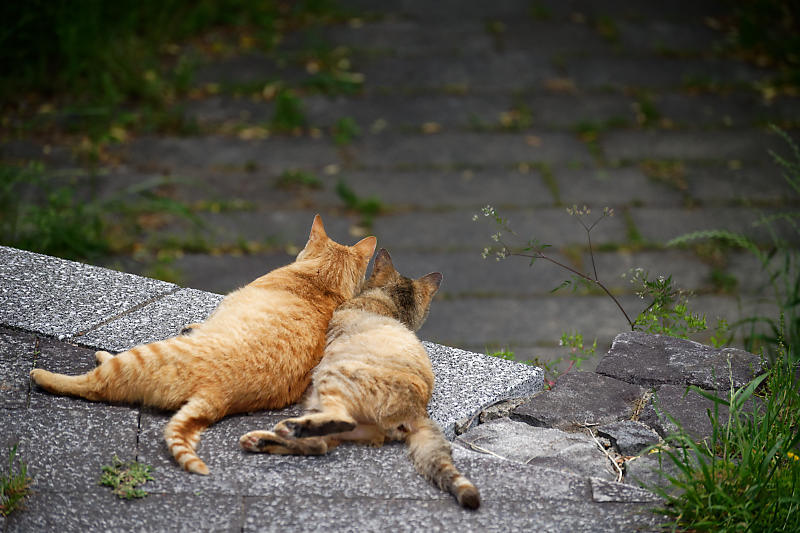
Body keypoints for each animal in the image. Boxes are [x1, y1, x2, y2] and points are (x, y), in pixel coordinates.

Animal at [30, 215, 376, 474]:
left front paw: (192, 326)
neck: (320, 282)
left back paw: (53, 372)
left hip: (141, 357)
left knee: (92, 385)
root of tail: (217, 395)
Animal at [241, 248, 482, 508]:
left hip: (333, 380)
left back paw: (290, 428)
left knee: (338, 422)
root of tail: (417, 411)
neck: (389, 304)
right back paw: (264, 440)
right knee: (319, 444)